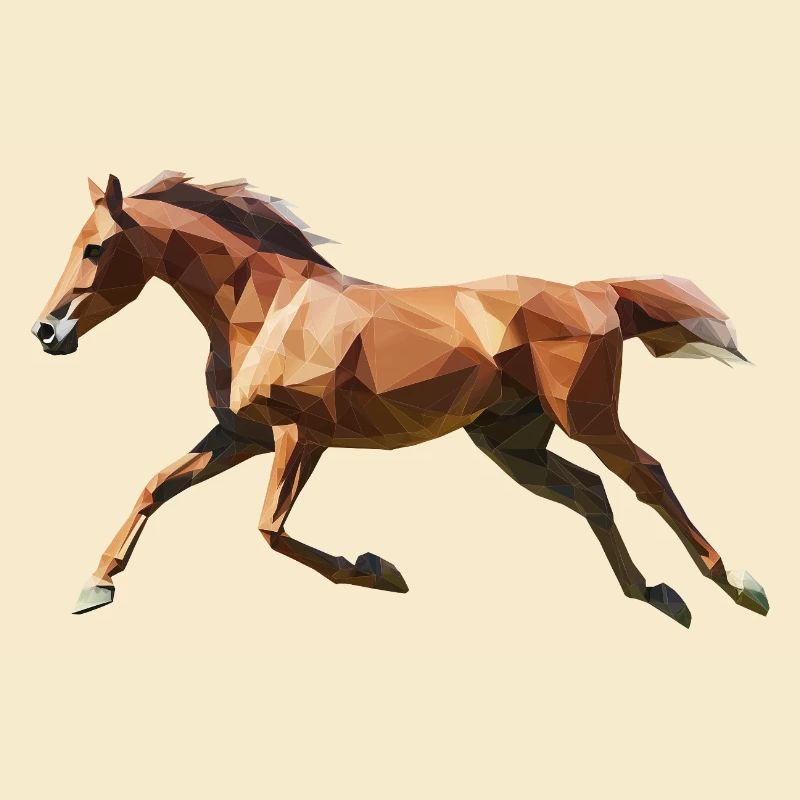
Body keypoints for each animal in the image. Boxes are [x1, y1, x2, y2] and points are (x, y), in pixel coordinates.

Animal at [33, 171, 768, 627]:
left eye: (95, 249)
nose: (47, 332)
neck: (265, 308)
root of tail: (597, 292)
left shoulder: (300, 437)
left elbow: (271, 530)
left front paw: (379, 569)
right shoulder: (241, 435)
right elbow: (157, 486)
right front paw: (96, 586)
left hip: (585, 417)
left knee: (647, 475)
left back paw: (737, 586)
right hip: (512, 443)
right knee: (591, 492)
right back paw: (654, 594)